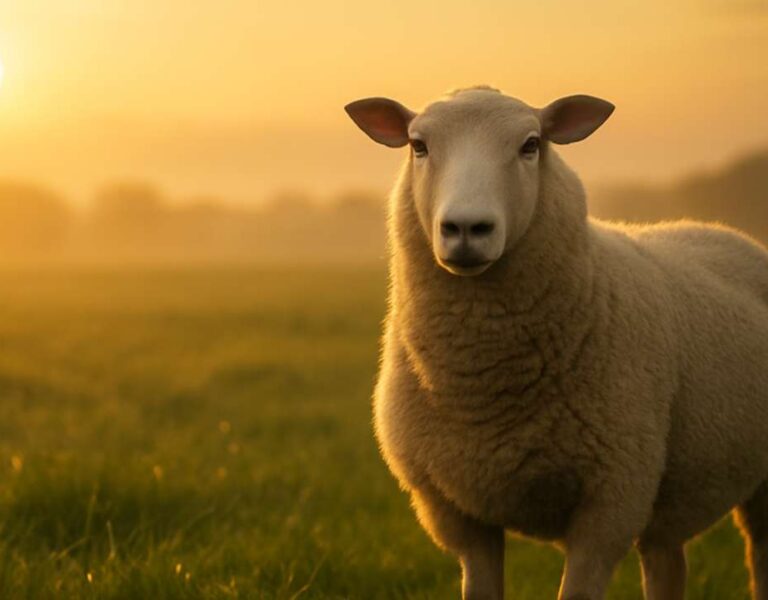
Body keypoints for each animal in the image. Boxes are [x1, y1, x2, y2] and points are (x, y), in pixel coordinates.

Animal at [344, 86, 768, 600]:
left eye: (531, 145)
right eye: (418, 145)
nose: (466, 228)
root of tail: (723, 231)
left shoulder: (610, 501)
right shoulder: (458, 512)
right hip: (665, 505)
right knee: (666, 565)